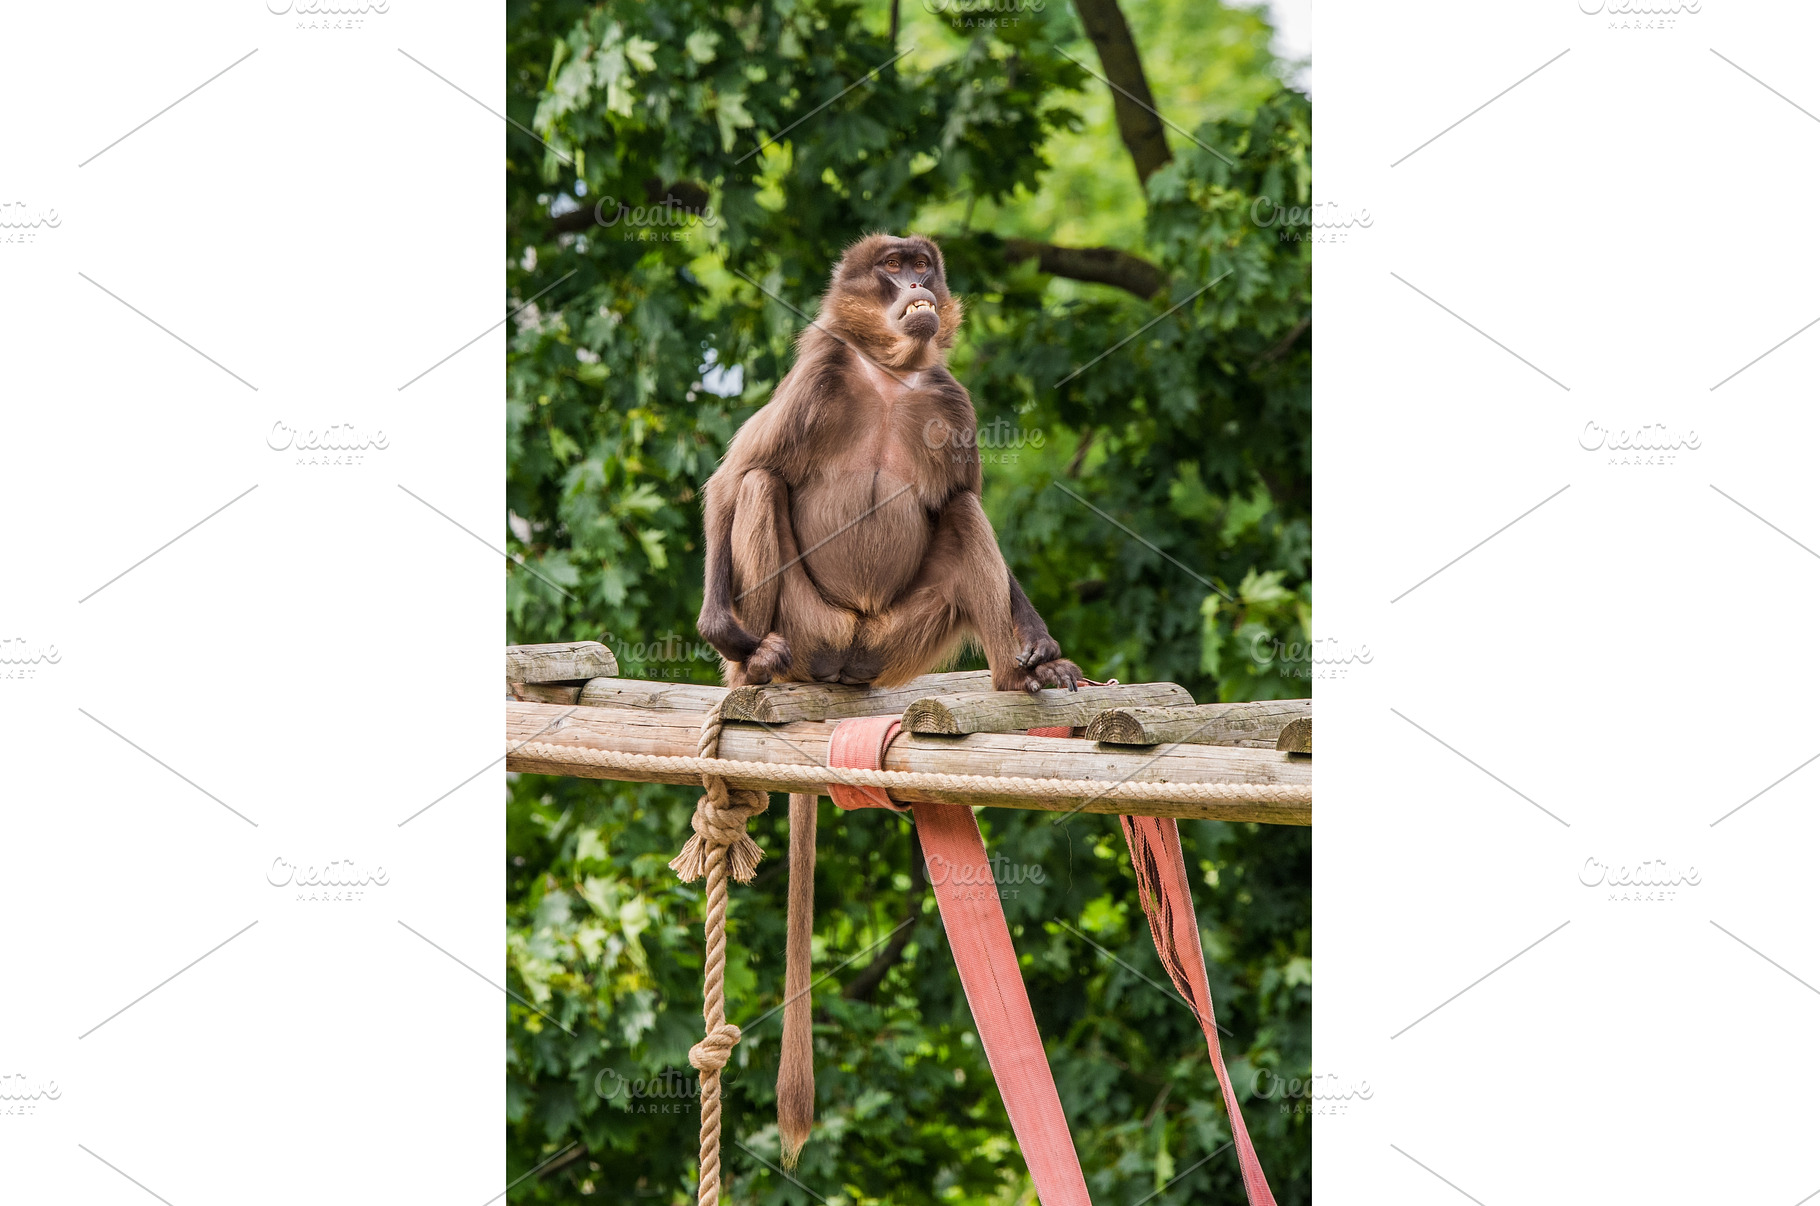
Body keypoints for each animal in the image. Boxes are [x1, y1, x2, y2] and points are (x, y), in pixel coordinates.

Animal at [696, 233, 1084, 1167]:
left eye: (922, 268)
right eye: (892, 268)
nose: (916, 290)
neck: (889, 374)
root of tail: (837, 666)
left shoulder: (948, 396)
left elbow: (958, 498)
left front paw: (1045, 654)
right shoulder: (822, 371)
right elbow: (739, 473)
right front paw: (718, 629)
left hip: (894, 642)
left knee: (962, 517)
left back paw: (1019, 675)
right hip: (806, 623)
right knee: (761, 485)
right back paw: (754, 667)